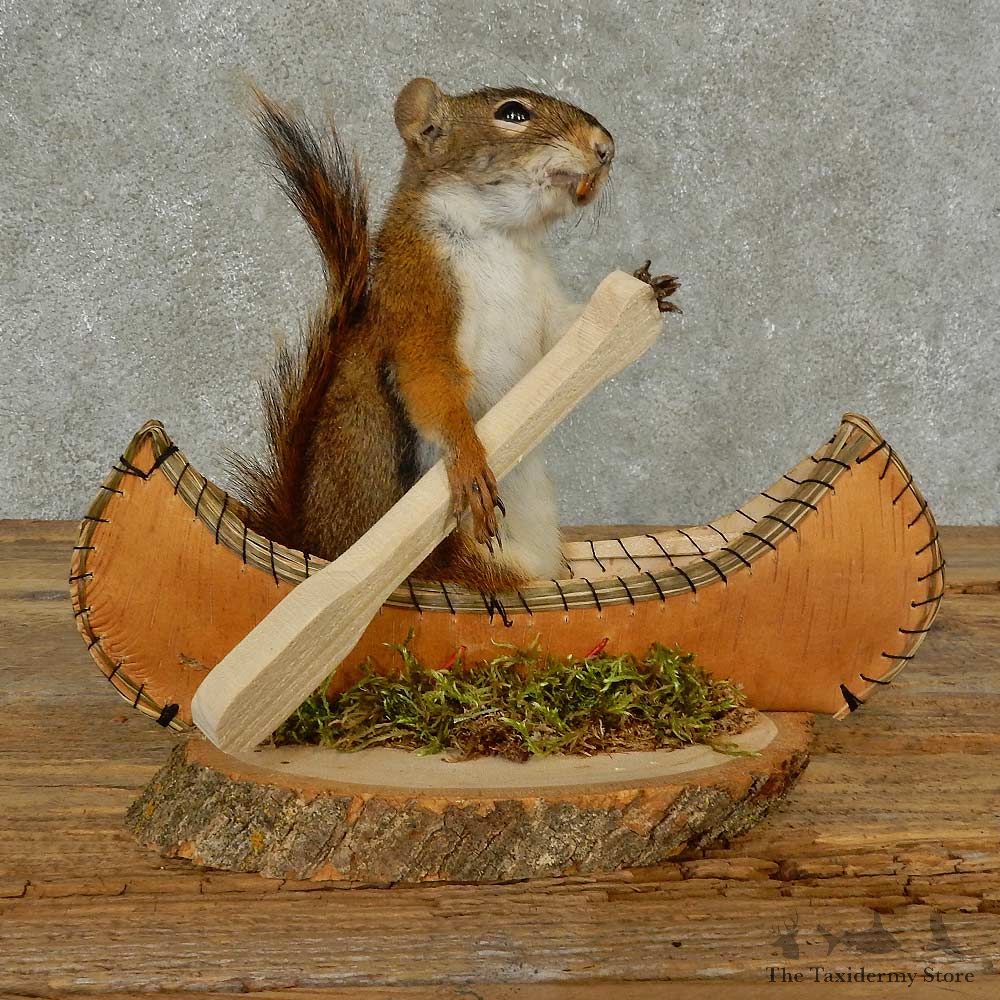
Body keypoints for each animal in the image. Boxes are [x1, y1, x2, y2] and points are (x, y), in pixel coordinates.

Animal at [230, 79, 680, 593]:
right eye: (512, 114)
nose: (605, 149)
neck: (503, 238)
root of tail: (310, 543)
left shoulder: (545, 309)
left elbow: (571, 339)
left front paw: (647, 288)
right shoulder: (418, 299)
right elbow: (430, 380)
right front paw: (467, 457)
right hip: (450, 557)